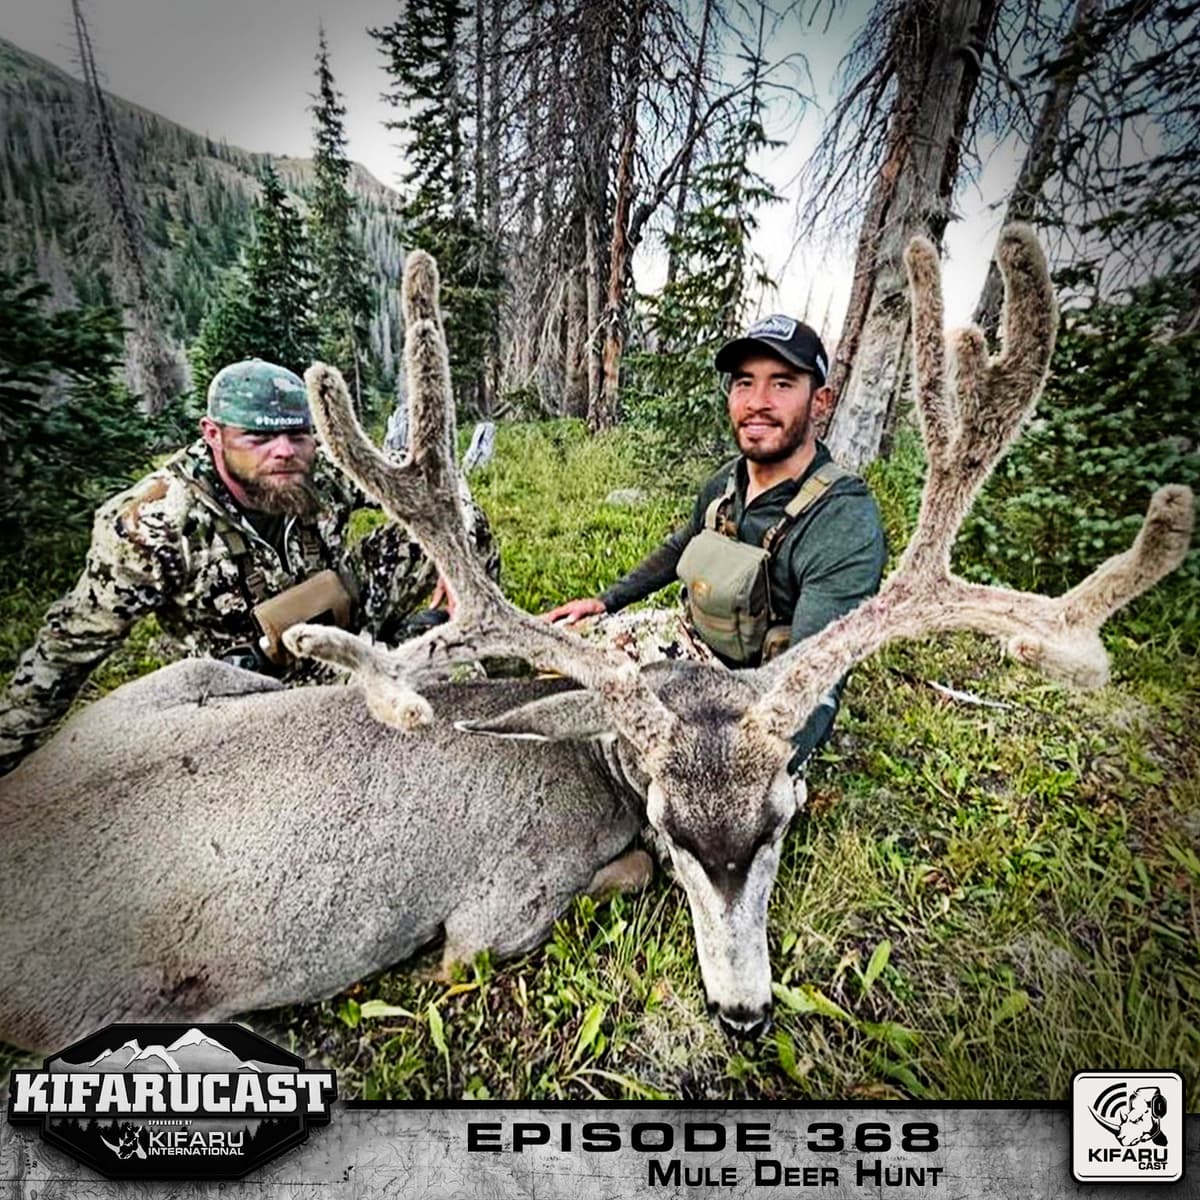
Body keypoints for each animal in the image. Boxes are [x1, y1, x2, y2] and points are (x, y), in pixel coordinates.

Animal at [0, 227, 1190, 1056]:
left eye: (783, 814)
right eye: (665, 822)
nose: (747, 1013)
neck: (585, 767)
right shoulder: (491, 916)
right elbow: (583, 892)